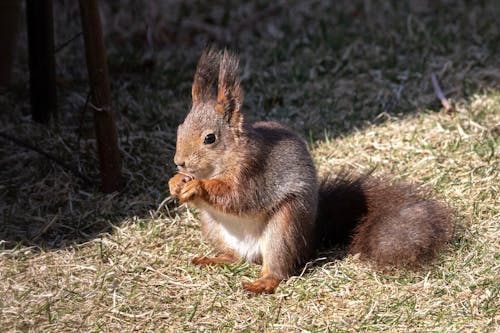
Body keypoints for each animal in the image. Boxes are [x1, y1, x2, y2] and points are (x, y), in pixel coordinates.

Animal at [169, 48, 454, 294]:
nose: (179, 162)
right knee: (235, 257)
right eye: (180, 127)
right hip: (213, 226)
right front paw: (175, 182)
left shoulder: (254, 172)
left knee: (278, 268)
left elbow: (238, 197)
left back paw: (263, 282)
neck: (218, 166)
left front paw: (197, 187)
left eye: (210, 138)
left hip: (285, 226)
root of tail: (313, 230)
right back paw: (214, 259)